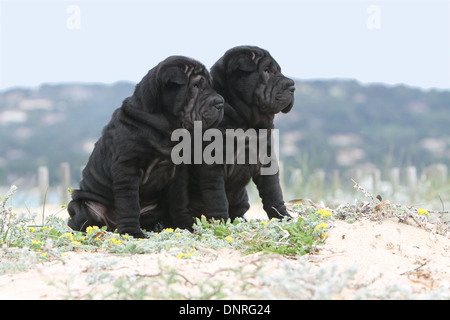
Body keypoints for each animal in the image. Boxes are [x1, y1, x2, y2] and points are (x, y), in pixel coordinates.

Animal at [67, 55, 225, 238]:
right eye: (196, 86)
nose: (221, 102)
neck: (167, 130)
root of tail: (112, 225)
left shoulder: (178, 173)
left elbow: (179, 201)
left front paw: (186, 226)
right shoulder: (127, 167)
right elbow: (129, 204)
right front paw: (132, 233)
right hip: (85, 206)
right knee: (81, 221)